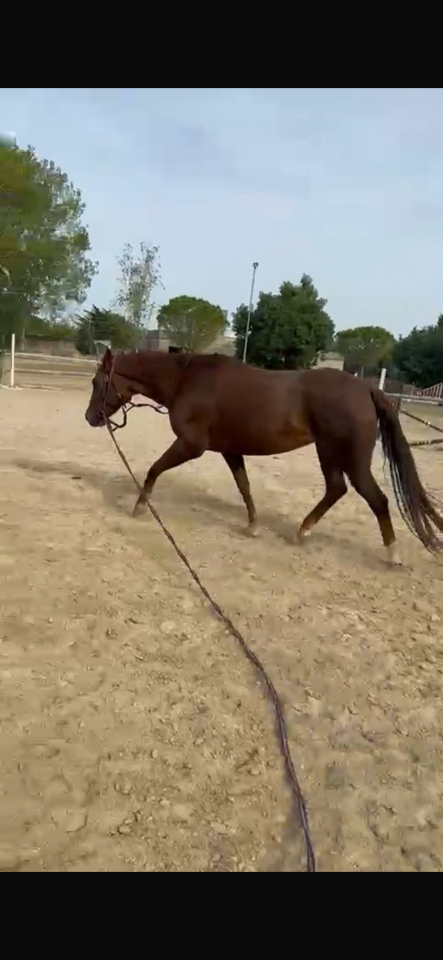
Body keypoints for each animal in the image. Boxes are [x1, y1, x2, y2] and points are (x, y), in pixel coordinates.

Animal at [85, 348, 443, 565]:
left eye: (97, 381)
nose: (91, 417)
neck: (186, 381)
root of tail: (366, 389)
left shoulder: (191, 445)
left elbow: (153, 469)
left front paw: (139, 506)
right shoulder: (230, 450)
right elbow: (244, 487)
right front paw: (253, 525)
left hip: (349, 458)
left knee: (376, 499)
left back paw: (393, 554)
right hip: (326, 451)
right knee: (336, 489)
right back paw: (303, 531)